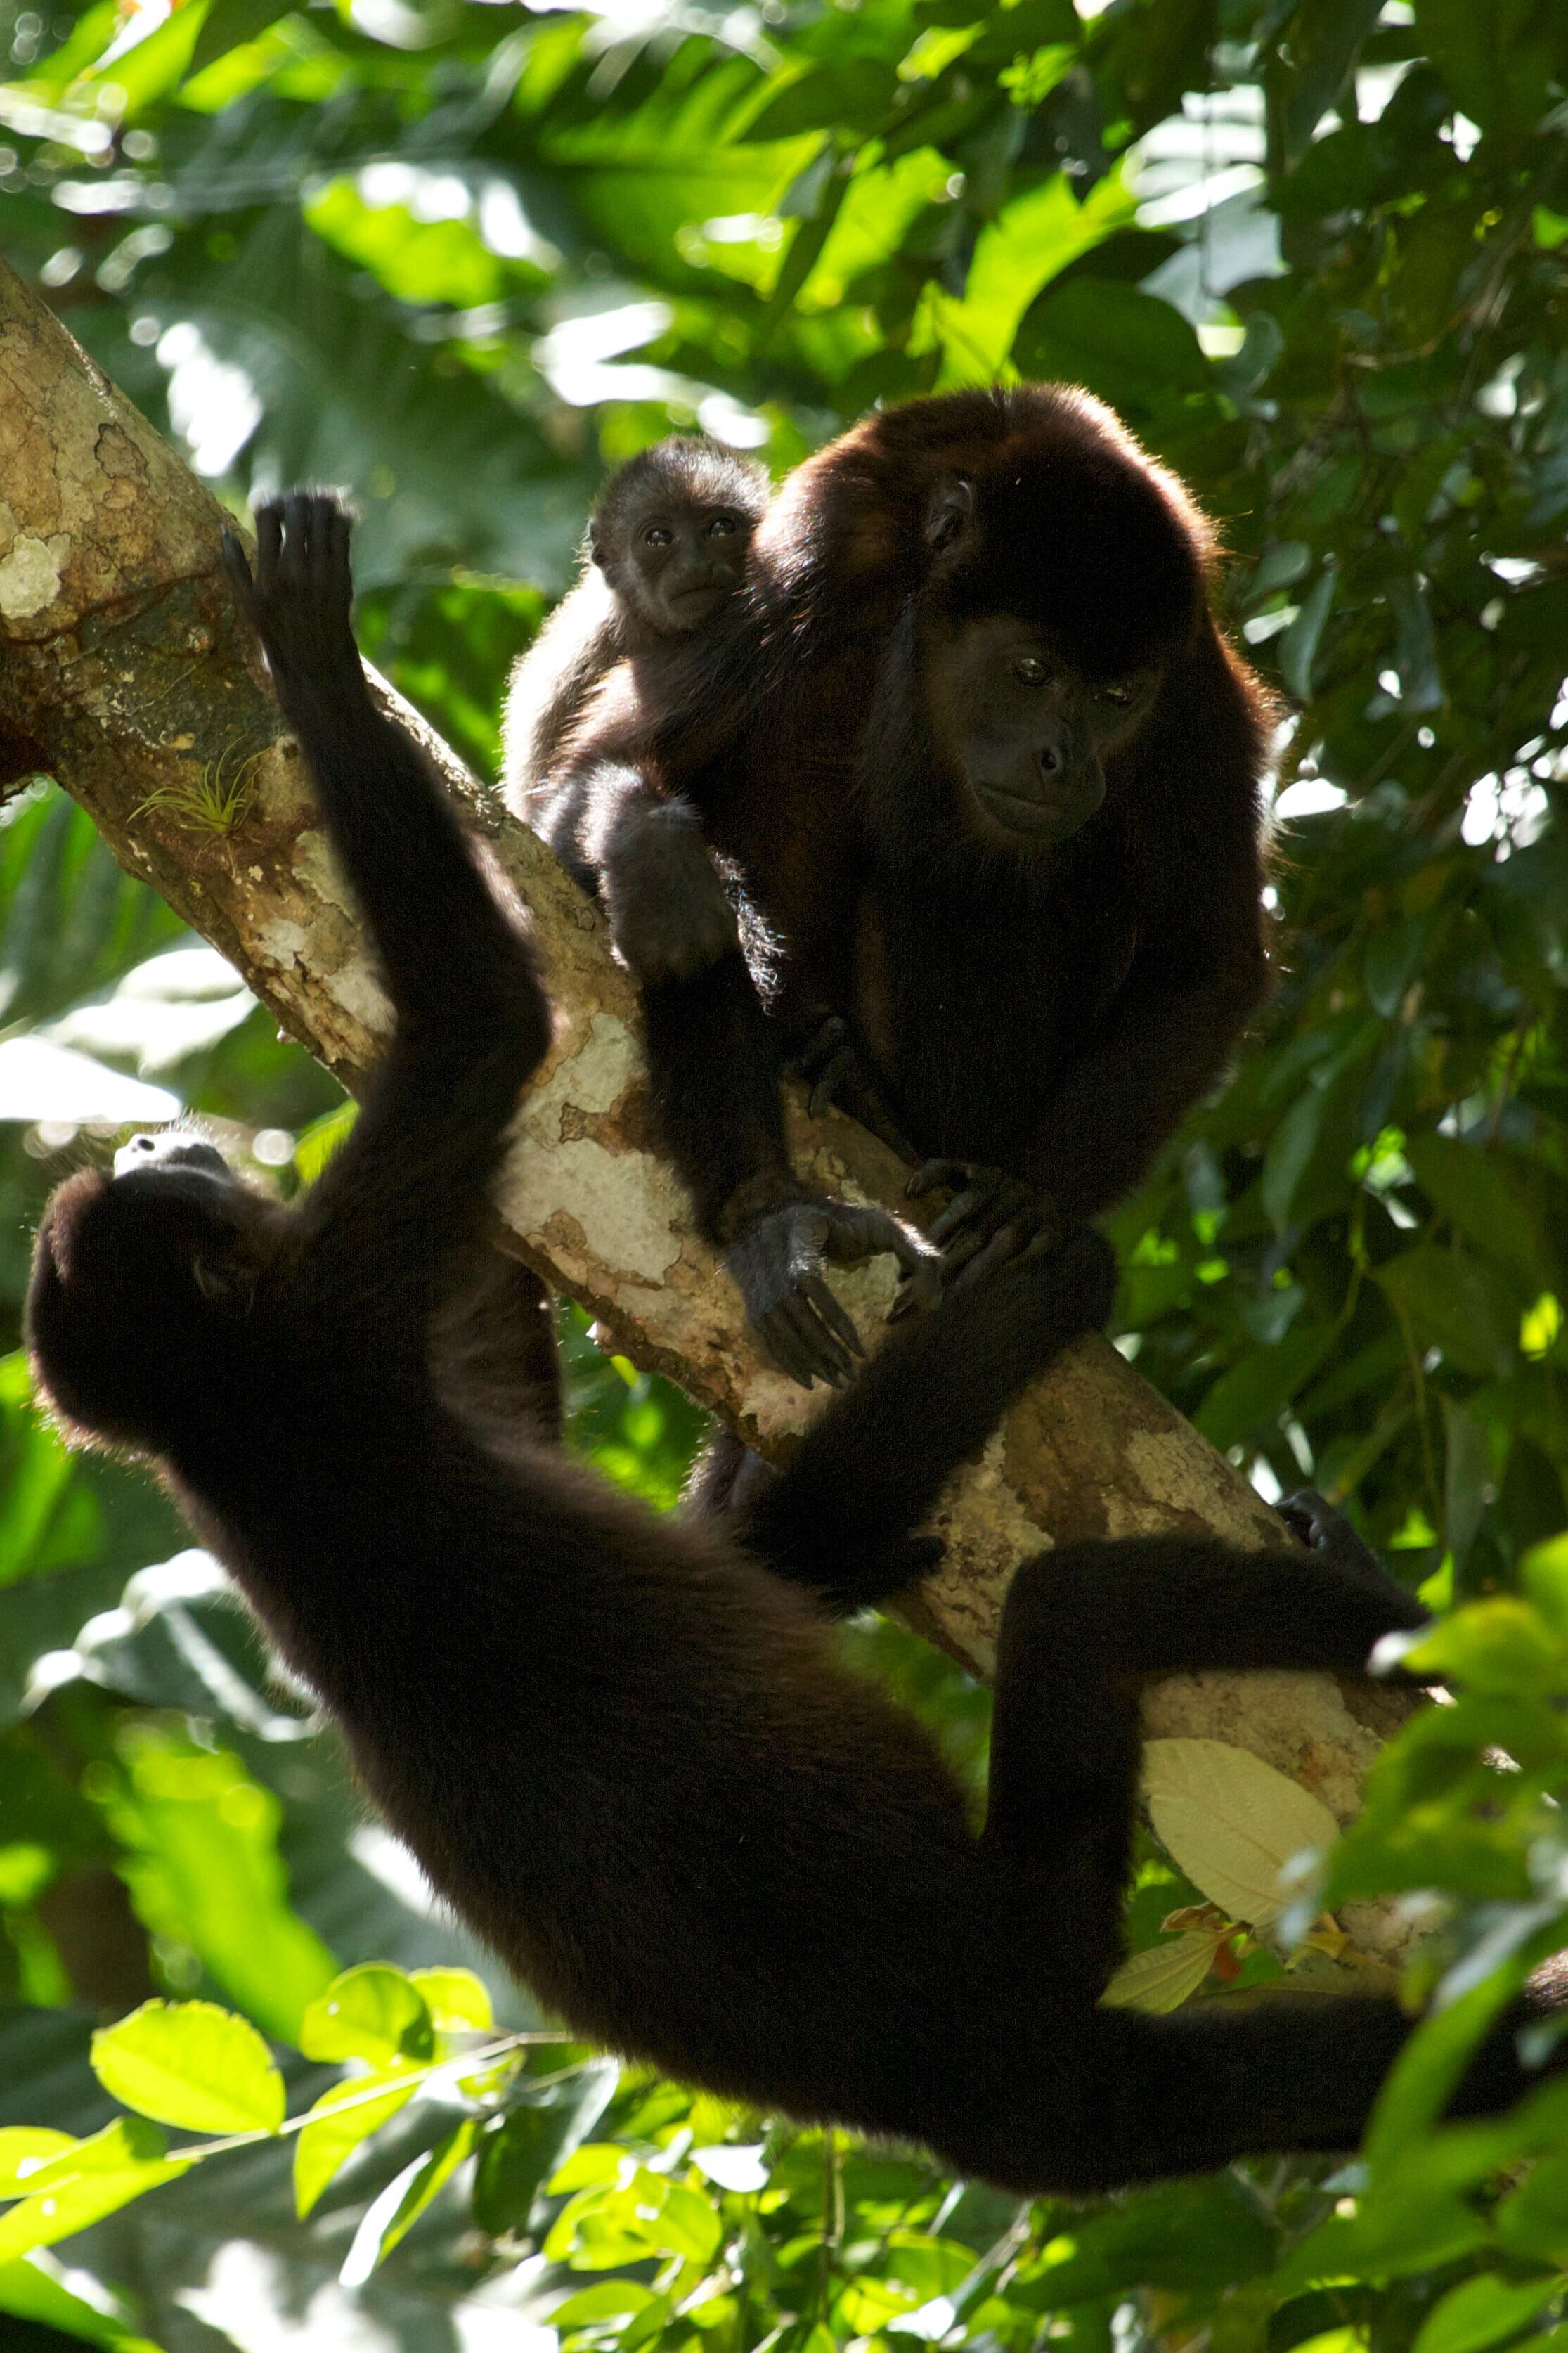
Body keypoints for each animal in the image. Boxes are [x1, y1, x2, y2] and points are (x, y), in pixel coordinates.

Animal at [27, 501, 1568, 2202]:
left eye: (138, 1175)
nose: (155, 1134)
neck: (215, 1410)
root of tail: (1010, 2095)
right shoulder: (329, 1306)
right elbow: (489, 1024)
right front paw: (310, 643)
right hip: (1047, 1900)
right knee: (1082, 1603)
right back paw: (1355, 1582)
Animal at [545, 383, 1278, 1374]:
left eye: (1116, 698)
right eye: (1031, 671)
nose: (1062, 762)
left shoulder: (1189, 675)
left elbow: (1207, 955)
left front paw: (1023, 1197)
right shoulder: (813, 562)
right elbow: (595, 780)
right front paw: (656, 858)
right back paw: (777, 1184)